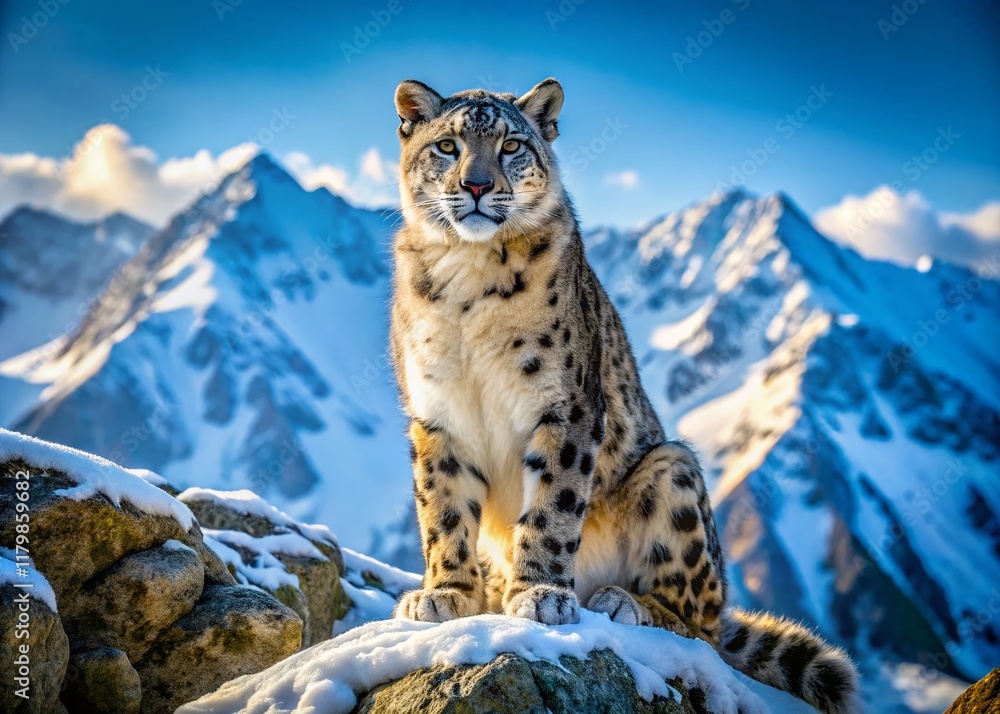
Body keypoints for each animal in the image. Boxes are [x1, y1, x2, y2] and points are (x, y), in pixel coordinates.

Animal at [388, 77, 860, 713]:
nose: (478, 185)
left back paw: (621, 602)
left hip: (673, 472)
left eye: (511, 144)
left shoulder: (565, 405)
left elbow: (554, 504)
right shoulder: (437, 415)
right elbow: (442, 508)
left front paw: (540, 594)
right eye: (446, 146)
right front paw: (446, 594)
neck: (468, 279)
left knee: (701, 624)